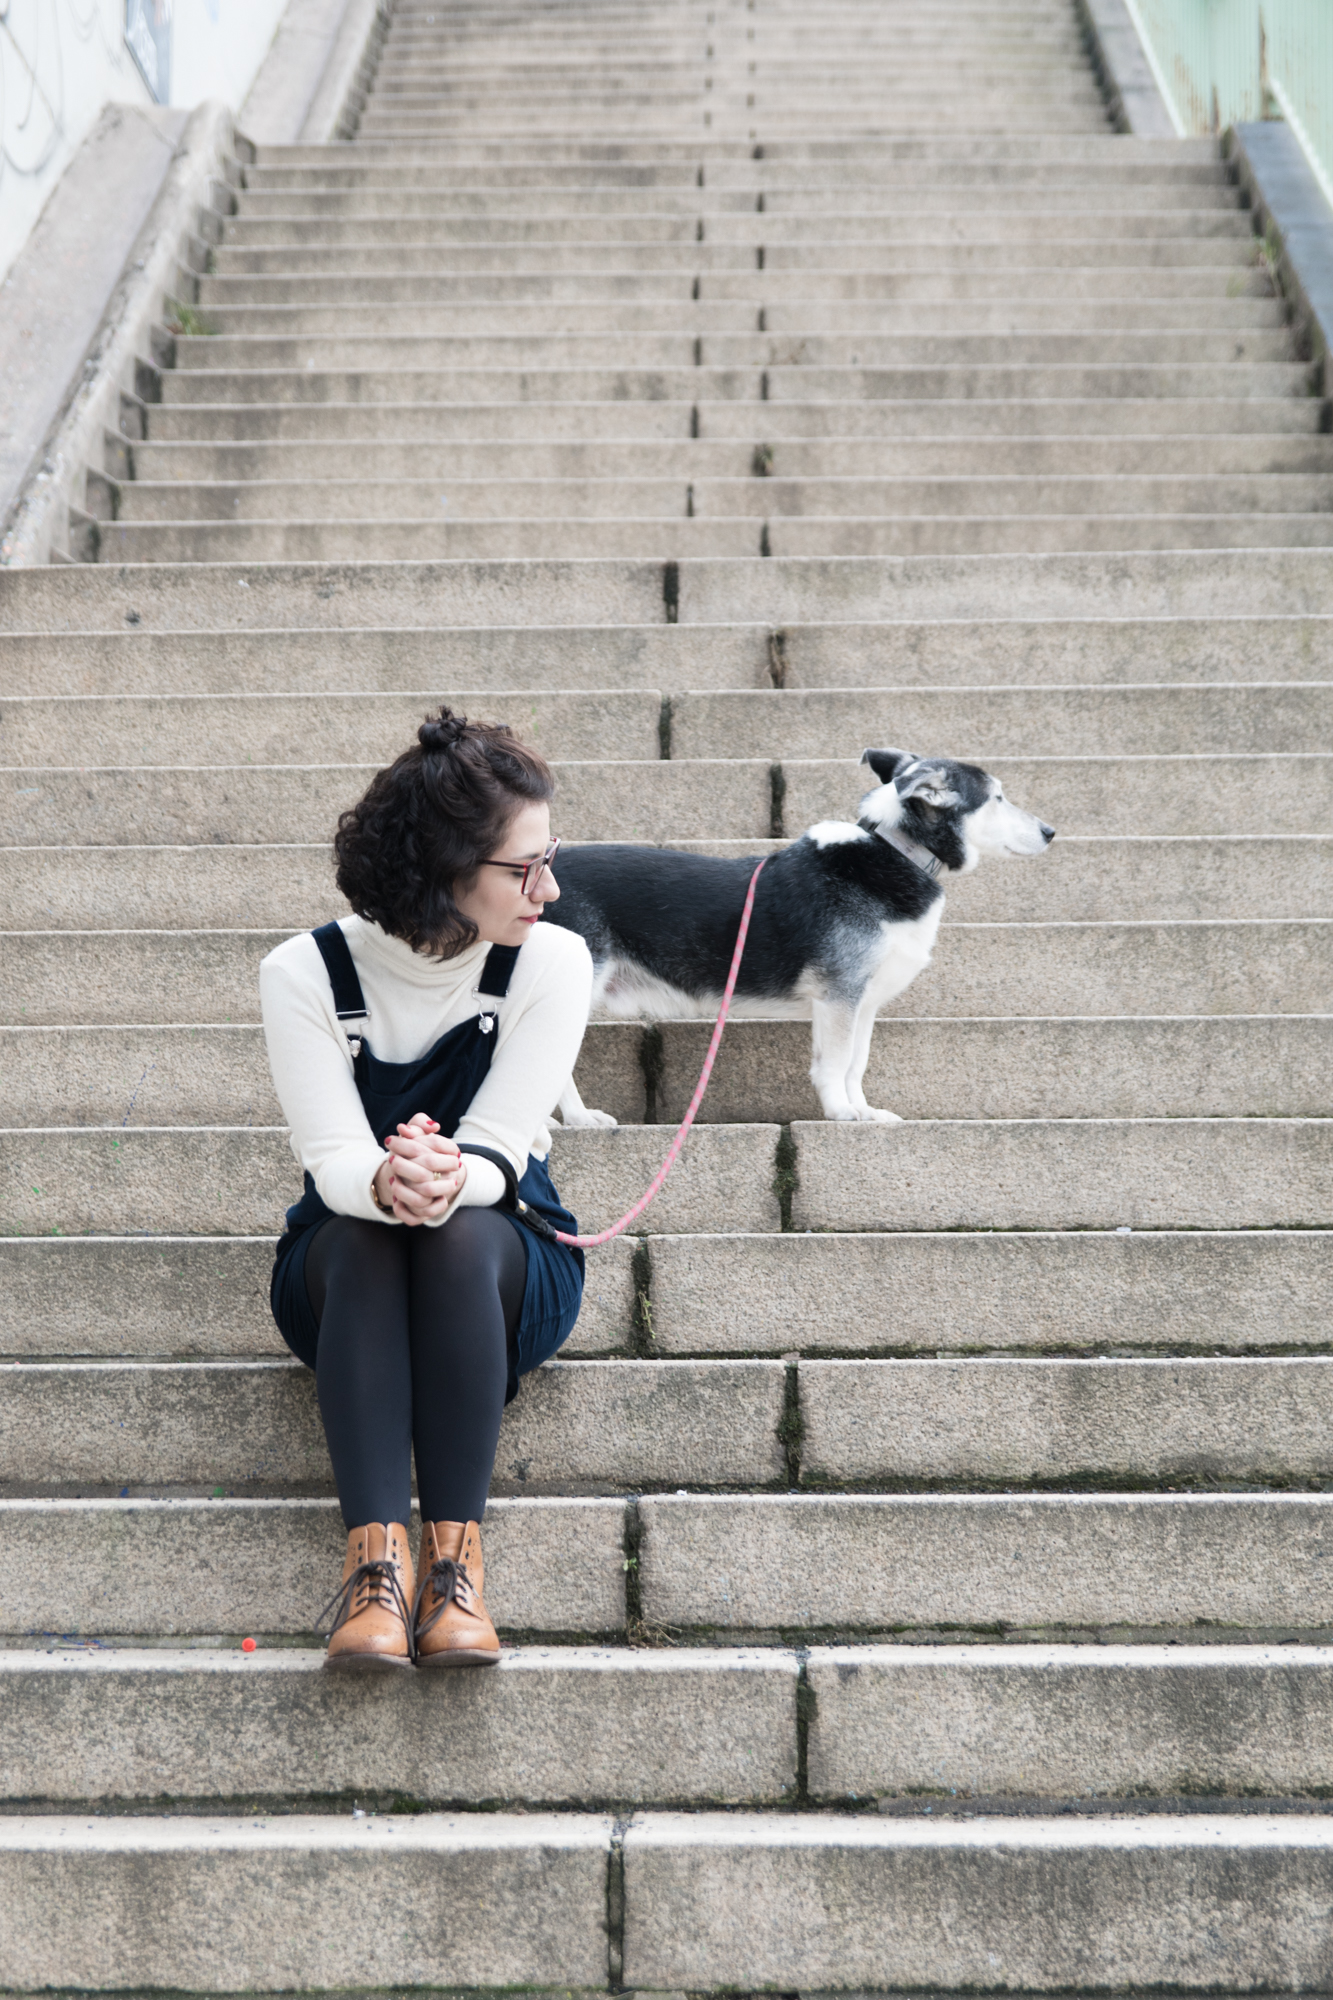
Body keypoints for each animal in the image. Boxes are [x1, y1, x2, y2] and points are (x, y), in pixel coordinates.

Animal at [548, 752, 1048, 1128]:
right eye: (998, 798)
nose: (1051, 832)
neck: (896, 850)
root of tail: (541, 874)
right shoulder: (839, 996)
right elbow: (835, 1063)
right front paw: (841, 1112)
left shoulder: (862, 1002)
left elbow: (856, 1063)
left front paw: (863, 1110)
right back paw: (578, 1118)